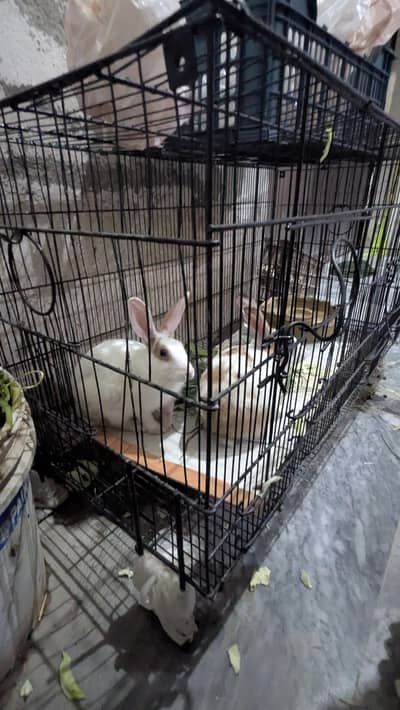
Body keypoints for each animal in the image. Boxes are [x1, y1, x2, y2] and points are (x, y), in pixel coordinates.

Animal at [75, 296, 195, 435]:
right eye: (163, 352)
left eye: (181, 346)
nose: (190, 373)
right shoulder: (141, 407)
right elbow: (148, 420)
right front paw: (158, 429)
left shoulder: (168, 402)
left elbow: (167, 414)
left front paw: (167, 426)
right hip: (108, 403)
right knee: (114, 423)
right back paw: (137, 427)